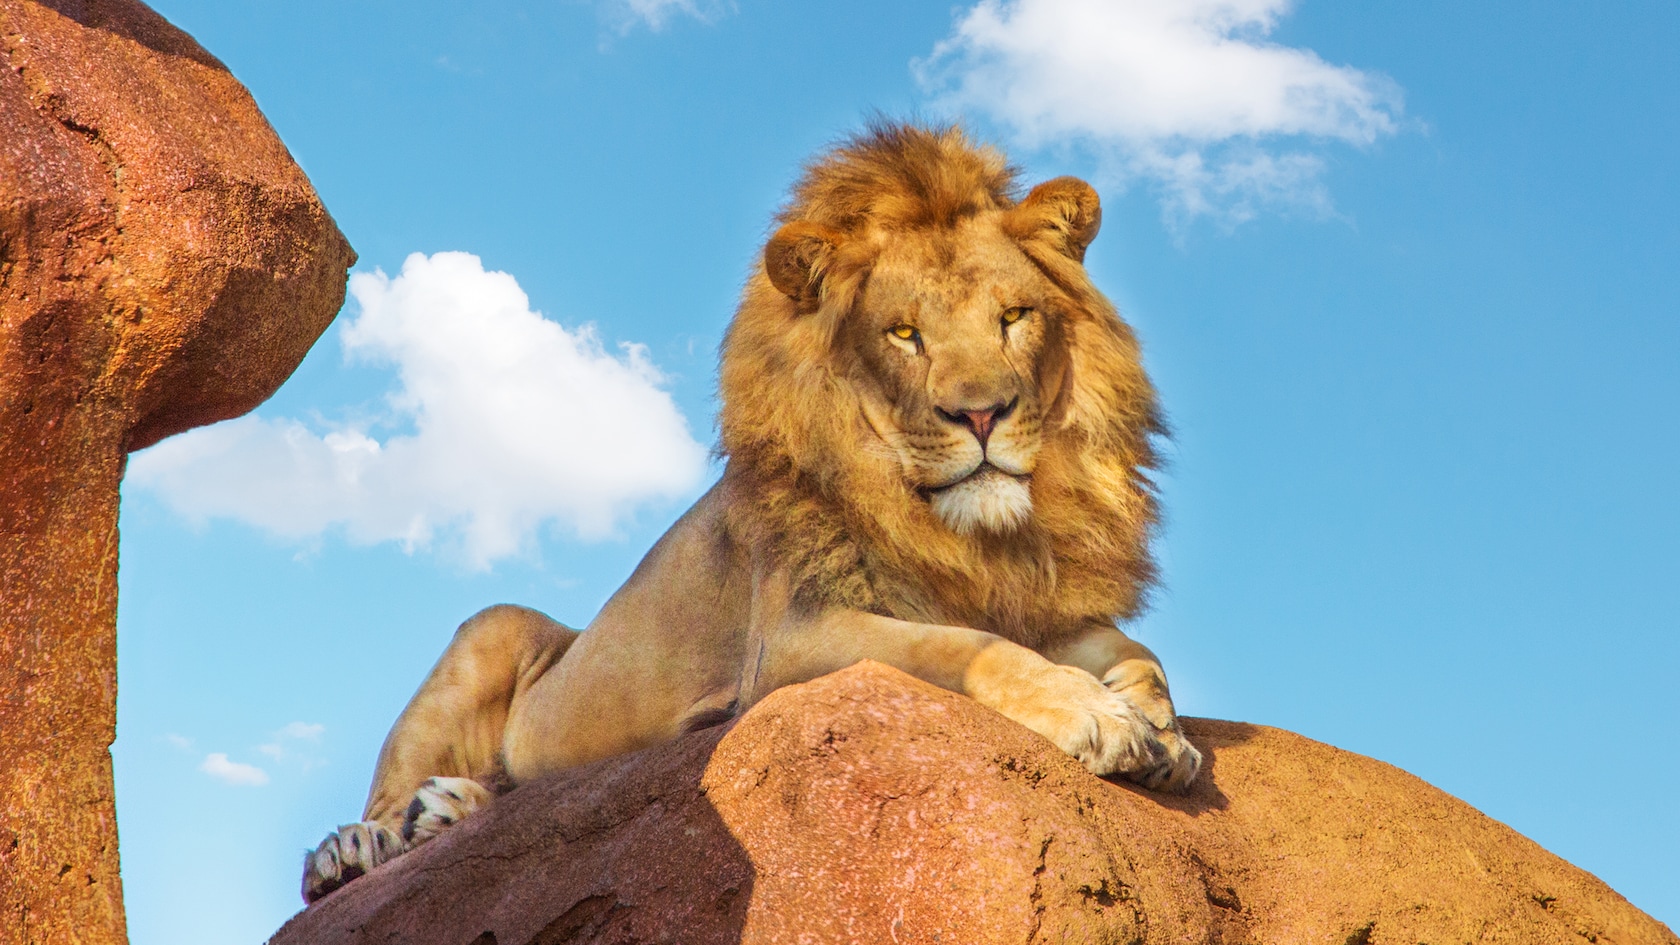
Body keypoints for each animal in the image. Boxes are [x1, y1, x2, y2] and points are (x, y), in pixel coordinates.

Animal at [300, 122, 1202, 904]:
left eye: (1014, 317)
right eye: (903, 333)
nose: (982, 414)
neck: (965, 532)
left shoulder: (1038, 606)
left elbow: (1141, 652)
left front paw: (1167, 733)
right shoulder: (795, 640)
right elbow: (964, 648)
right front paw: (1098, 715)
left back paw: (446, 809)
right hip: (490, 626)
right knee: (378, 804)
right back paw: (362, 843)